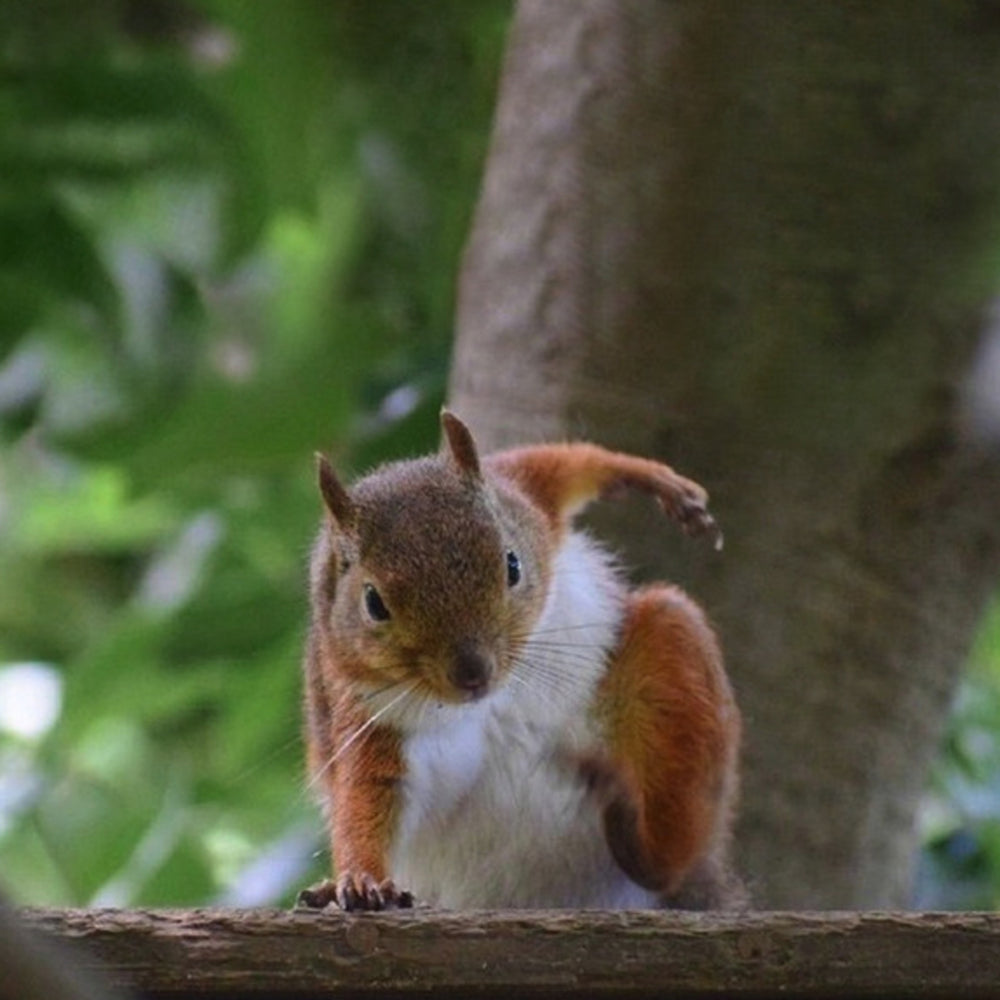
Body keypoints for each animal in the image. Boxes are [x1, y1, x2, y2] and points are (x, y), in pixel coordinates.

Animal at [296, 410, 744, 912]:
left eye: (512, 565)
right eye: (373, 603)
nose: (473, 673)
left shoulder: (523, 495)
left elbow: (559, 464)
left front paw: (653, 478)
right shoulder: (367, 716)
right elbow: (368, 795)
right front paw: (361, 880)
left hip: (672, 658)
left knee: (669, 853)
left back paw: (640, 834)